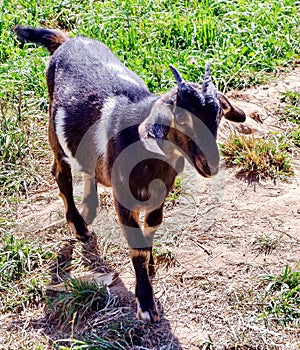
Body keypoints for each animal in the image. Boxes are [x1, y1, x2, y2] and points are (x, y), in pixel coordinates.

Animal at [13, 26, 246, 322]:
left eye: (217, 115)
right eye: (181, 119)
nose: (210, 164)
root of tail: (68, 41)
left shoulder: (161, 192)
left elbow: (153, 225)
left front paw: (151, 263)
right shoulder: (123, 196)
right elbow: (136, 247)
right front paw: (146, 302)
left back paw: (89, 207)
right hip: (54, 135)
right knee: (61, 174)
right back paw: (79, 225)